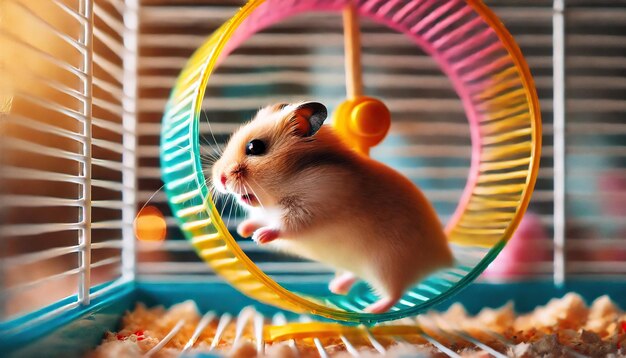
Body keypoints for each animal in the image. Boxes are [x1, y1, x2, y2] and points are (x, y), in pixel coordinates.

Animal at [212, 101, 450, 314]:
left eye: (255, 147)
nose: (219, 179)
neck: (287, 182)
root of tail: (444, 256)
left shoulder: (314, 206)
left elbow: (284, 226)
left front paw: (259, 238)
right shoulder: (267, 212)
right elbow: (258, 219)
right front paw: (244, 231)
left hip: (388, 265)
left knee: (395, 294)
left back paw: (371, 311)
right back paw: (337, 287)